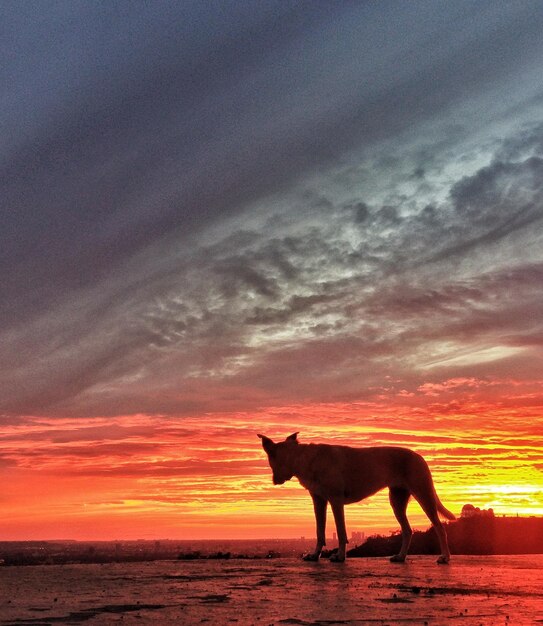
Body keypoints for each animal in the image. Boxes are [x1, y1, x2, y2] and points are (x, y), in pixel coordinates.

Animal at [260, 432, 454, 564]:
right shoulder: (319, 501)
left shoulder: (336, 500)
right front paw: (315, 555)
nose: (274, 481)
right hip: (397, 500)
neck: (305, 459)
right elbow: (319, 531)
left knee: (439, 527)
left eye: (270, 461)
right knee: (407, 530)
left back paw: (444, 557)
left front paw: (340, 556)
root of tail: (419, 456)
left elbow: (341, 531)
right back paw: (400, 556)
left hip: (424, 495)